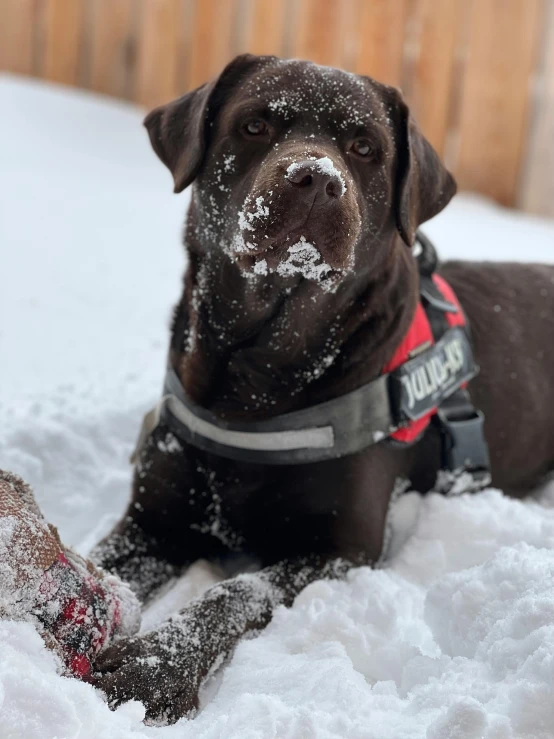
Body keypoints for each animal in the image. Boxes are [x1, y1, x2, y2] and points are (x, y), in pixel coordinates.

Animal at [90, 56, 552, 724]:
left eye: (364, 148)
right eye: (255, 125)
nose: (316, 179)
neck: (255, 382)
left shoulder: (344, 546)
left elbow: (237, 588)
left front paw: (152, 670)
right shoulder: (153, 520)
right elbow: (92, 564)